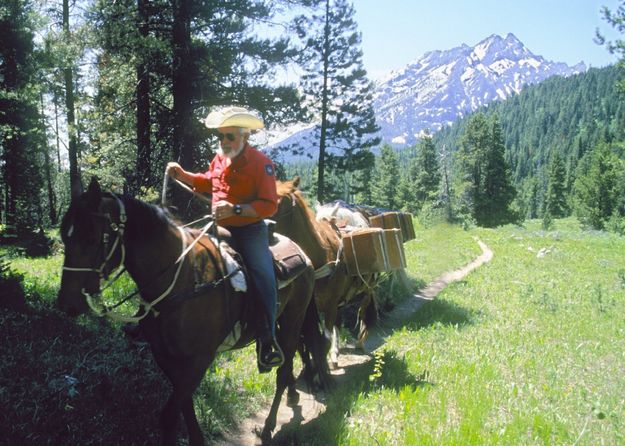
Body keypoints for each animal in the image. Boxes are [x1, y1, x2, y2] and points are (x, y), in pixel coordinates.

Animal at [58, 179, 330, 446]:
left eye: (91, 238)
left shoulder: (200, 359)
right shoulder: (166, 357)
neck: (181, 279)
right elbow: (185, 405)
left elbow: (169, 416)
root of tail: (303, 255)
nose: (66, 304)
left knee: (284, 370)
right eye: (64, 237)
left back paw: (268, 426)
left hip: (293, 319)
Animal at [272, 178, 376, 370]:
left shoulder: (330, 304)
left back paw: (360, 343)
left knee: (363, 311)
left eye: (279, 203)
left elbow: (323, 340)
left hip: (366, 290)